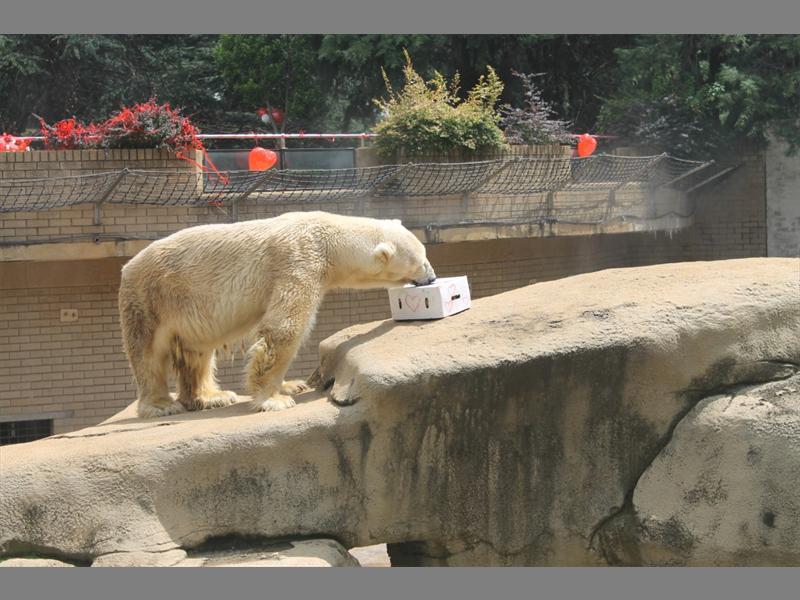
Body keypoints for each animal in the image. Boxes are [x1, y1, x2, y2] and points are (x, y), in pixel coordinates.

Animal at [118, 211, 436, 418]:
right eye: (422, 261)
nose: (432, 278)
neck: (328, 238)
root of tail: (127, 266)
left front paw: (292, 385)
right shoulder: (299, 262)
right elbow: (285, 328)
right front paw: (274, 400)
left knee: (197, 354)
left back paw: (212, 397)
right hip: (152, 299)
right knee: (149, 354)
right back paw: (161, 405)